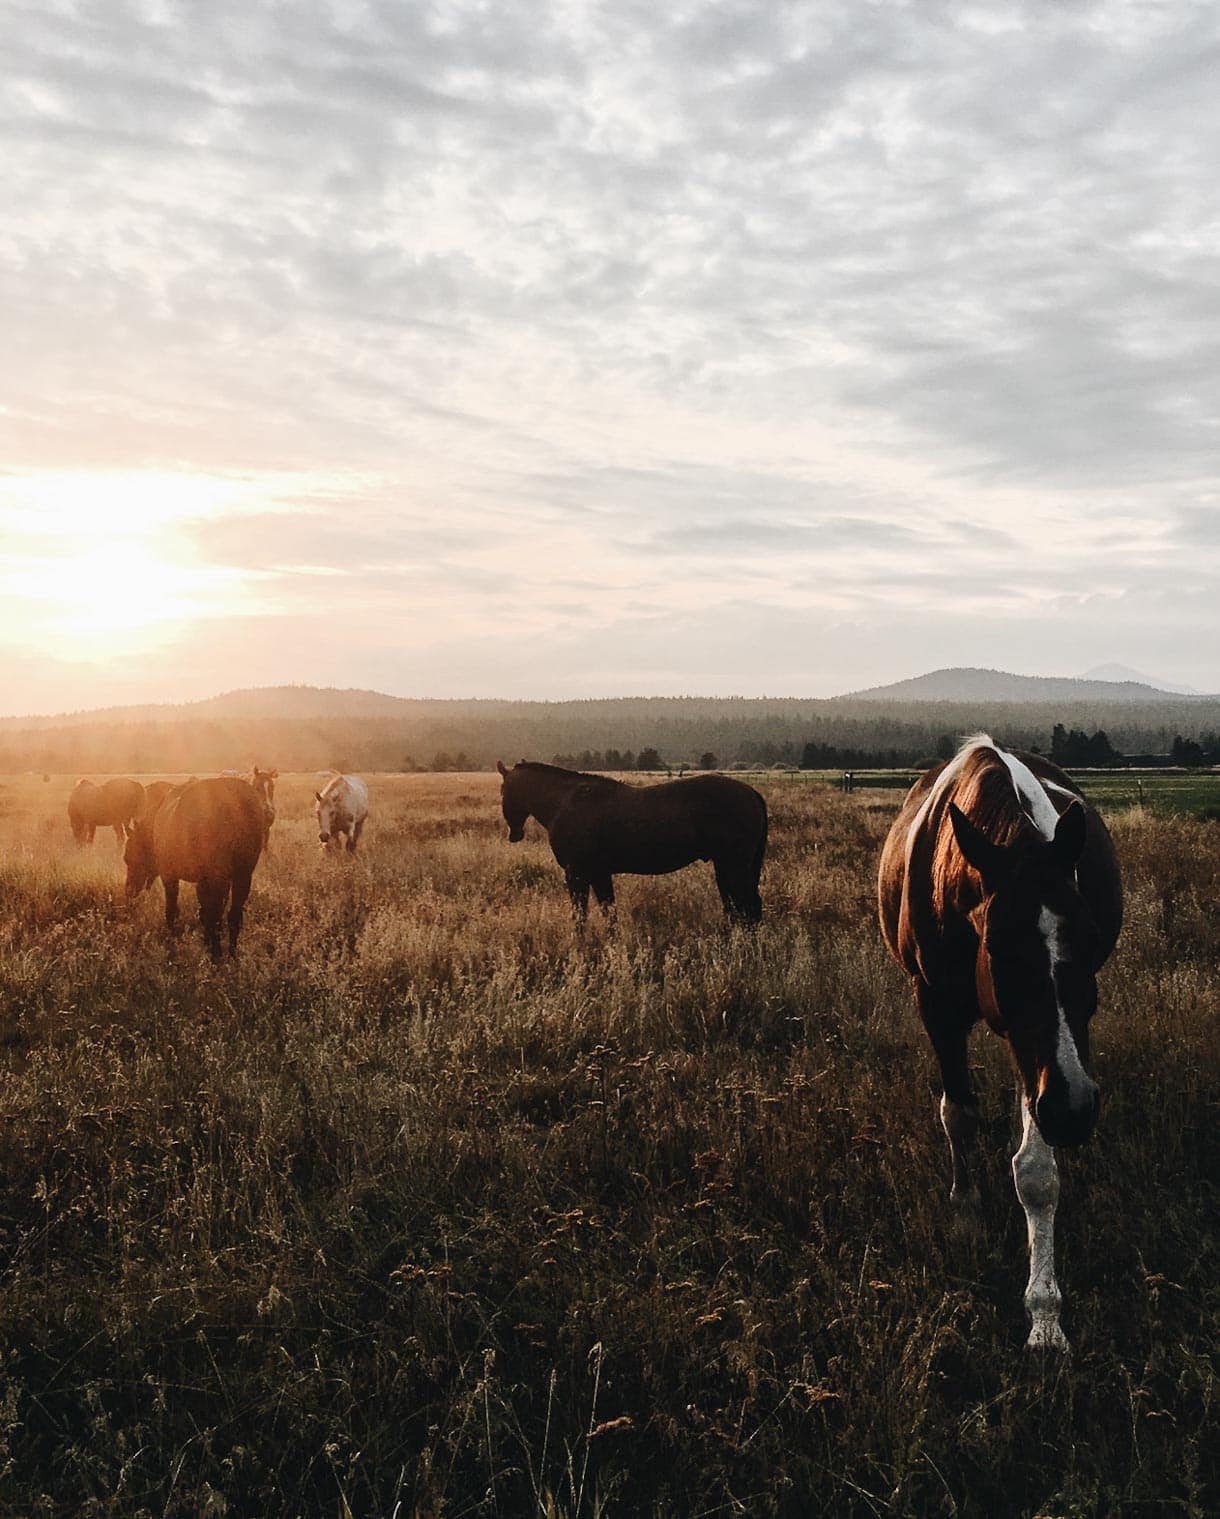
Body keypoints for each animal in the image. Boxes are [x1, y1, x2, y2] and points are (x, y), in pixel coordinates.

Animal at [123, 777, 264, 953]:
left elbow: (173, 911)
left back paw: (216, 952)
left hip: (220, 877)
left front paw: (172, 942)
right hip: (242, 875)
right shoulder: (204, 881)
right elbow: (204, 913)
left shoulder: (170, 875)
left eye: (128, 857)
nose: (128, 891)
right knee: (233, 916)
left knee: (217, 915)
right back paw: (230, 952)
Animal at [495, 765, 762, 917]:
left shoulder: (576, 874)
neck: (564, 803)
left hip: (733, 866)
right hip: (726, 867)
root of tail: (751, 793)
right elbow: (608, 912)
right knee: (738, 907)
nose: (514, 834)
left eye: (502, 790)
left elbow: (580, 915)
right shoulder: (599, 873)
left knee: (746, 907)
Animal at [875, 735, 1124, 1354]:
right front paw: (966, 1212)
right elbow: (958, 1114)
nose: (1075, 1110)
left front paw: (1045, 1315)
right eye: (998, 947)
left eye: (1090, 937)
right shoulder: (937, 1009)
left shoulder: (1046, 1055)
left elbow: (1036, 1171)